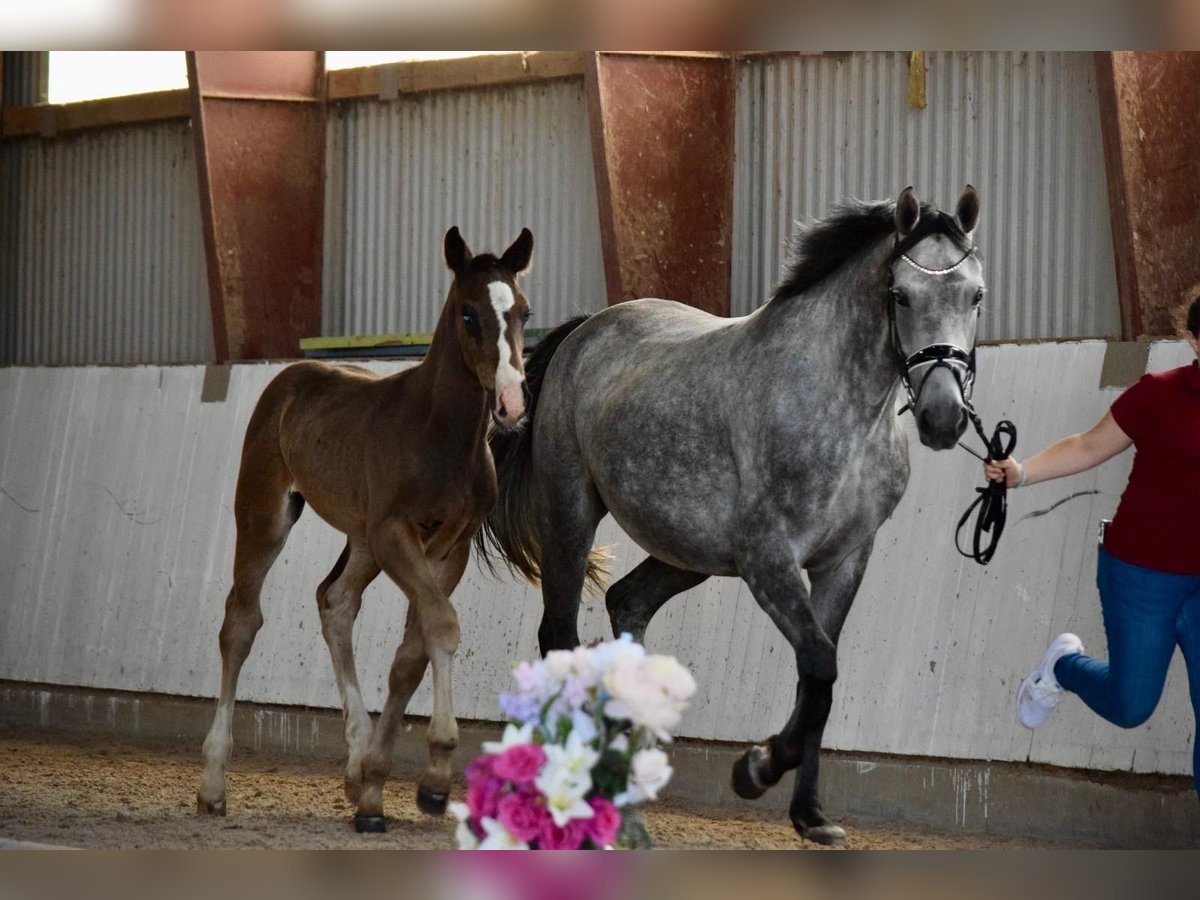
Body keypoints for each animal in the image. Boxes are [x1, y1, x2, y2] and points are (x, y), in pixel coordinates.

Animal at [197, 226, 534, 833]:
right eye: (469, 313)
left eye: (523, 311)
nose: (511, 402)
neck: (438, 433)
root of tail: (289, 376)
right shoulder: (396, 534)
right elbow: (442, 627)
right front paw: (432, 777)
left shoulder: (448, 548)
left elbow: (413, 653)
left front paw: (383, 786)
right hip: (266, 517)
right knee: (240, 622)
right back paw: (213, 784)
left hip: (360, 541)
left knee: (335, 601)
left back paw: (354, 769)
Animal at [477, 187, 985, 845]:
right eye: (900, 294)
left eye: (975, 295)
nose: (943, 418)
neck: (841, 408)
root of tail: (582, 333)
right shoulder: (769, 561)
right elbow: (819, 669)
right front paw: (755, 769)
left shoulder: (845, 561)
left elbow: (817, 681)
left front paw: (811, 815)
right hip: (570, 519)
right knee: (558, 636)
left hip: (688, 554)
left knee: (627, 603)